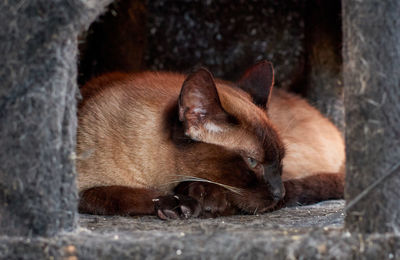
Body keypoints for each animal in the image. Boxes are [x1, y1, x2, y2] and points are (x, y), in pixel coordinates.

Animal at [76, 61, 346, 219]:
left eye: (280, 161)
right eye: (252, 162)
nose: (279, 193)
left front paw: (199, 199)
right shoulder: (77, 190)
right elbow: (108, 194)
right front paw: (176, 203)